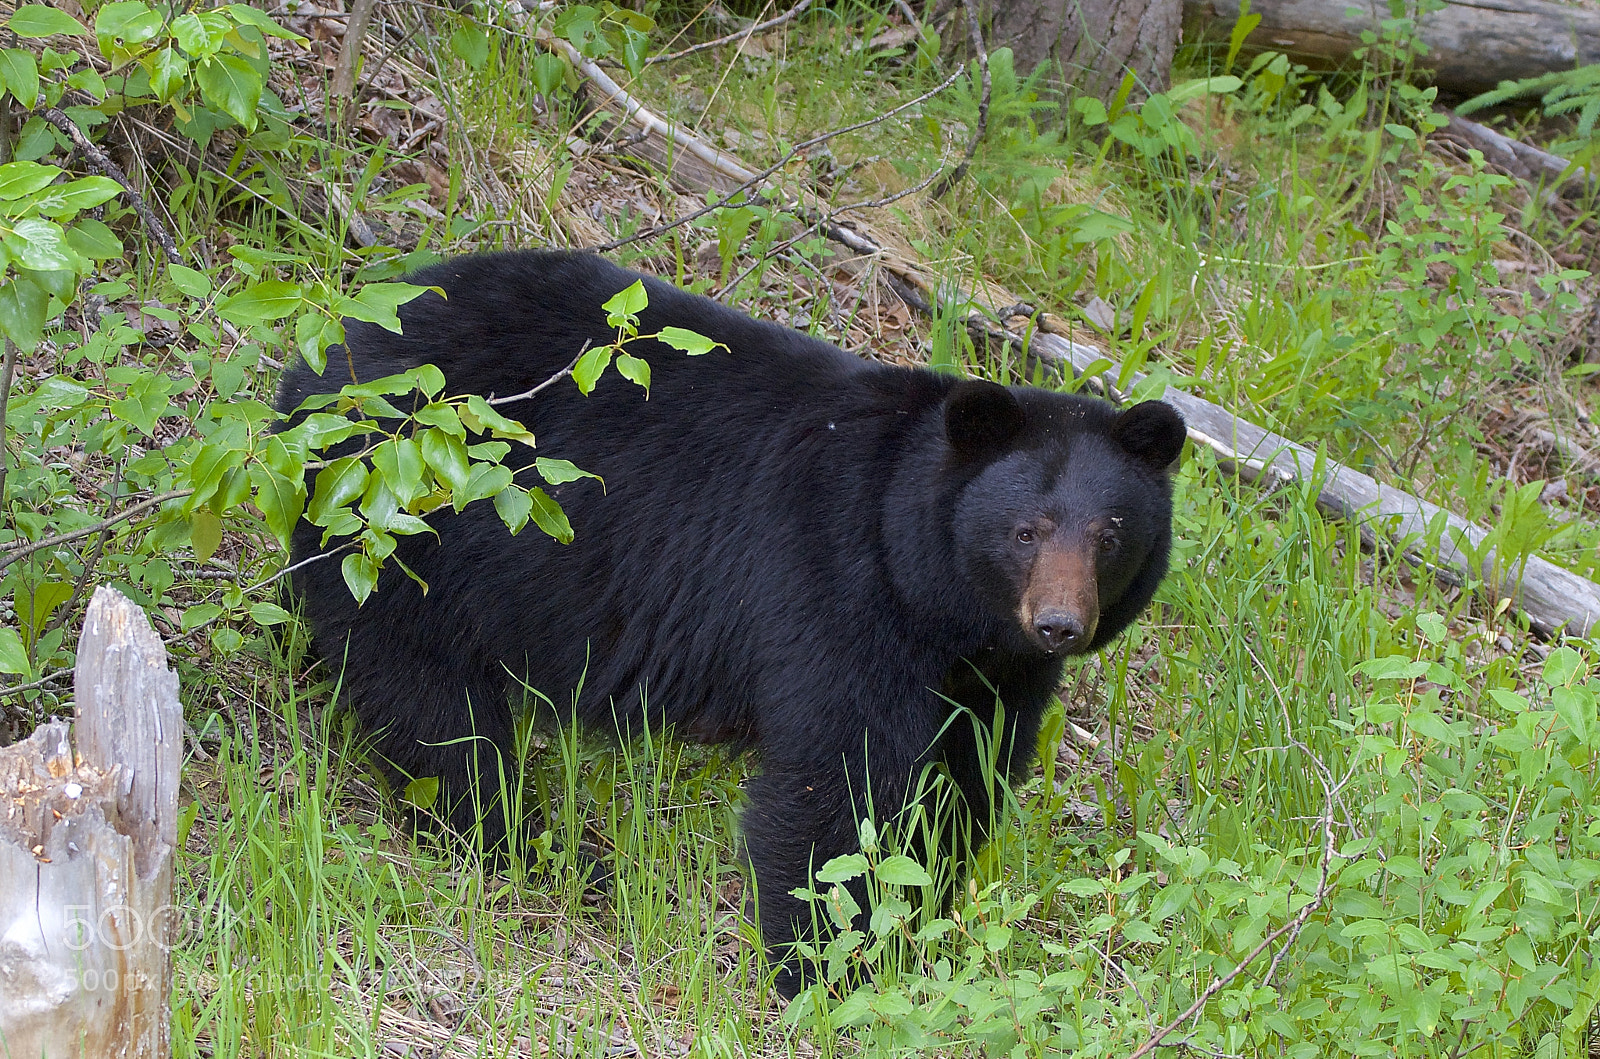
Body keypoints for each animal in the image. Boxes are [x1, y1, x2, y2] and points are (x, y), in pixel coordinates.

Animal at [275, 249, 1186, 997]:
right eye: (1026, 529)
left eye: (1109, 533)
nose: (1061, 624)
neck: (932, 595)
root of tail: (324, 355)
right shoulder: (831, 586)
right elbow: (836, 780)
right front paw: (830, 970)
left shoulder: (996, 673)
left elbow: (965, 780)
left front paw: (923, 930)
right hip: (406, 535)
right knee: (436, 709)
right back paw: (533, 849)